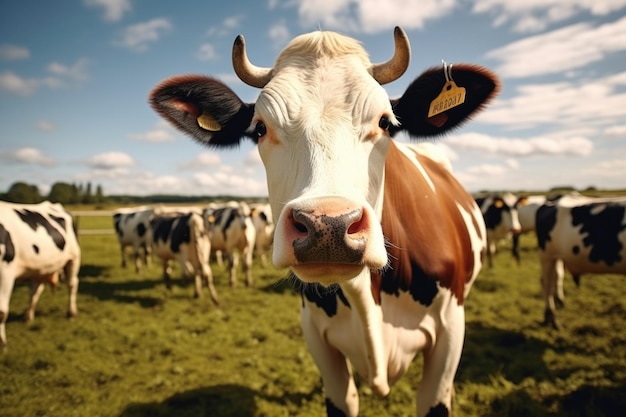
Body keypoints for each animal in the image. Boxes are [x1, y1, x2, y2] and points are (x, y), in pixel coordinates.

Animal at [0, 201, 80, 348]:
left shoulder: (6, 272)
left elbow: (1, 312)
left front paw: (2, 343)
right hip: (39, 267)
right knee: (35, 291)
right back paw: (28, 317)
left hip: (73, 258)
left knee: (72, 284)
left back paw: (71, 313)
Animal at [150, 26, 498, 416]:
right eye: (260, 129)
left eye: (385, 123)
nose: (327, 226)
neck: (368, 300)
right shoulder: (317, 338)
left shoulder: (451, 330)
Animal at [532, 194, 624, 328]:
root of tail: (554, 199)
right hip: (546, 255)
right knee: (546, 282)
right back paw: (552, 318)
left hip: (556, 257)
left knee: (557, 276)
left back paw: (559, 303)